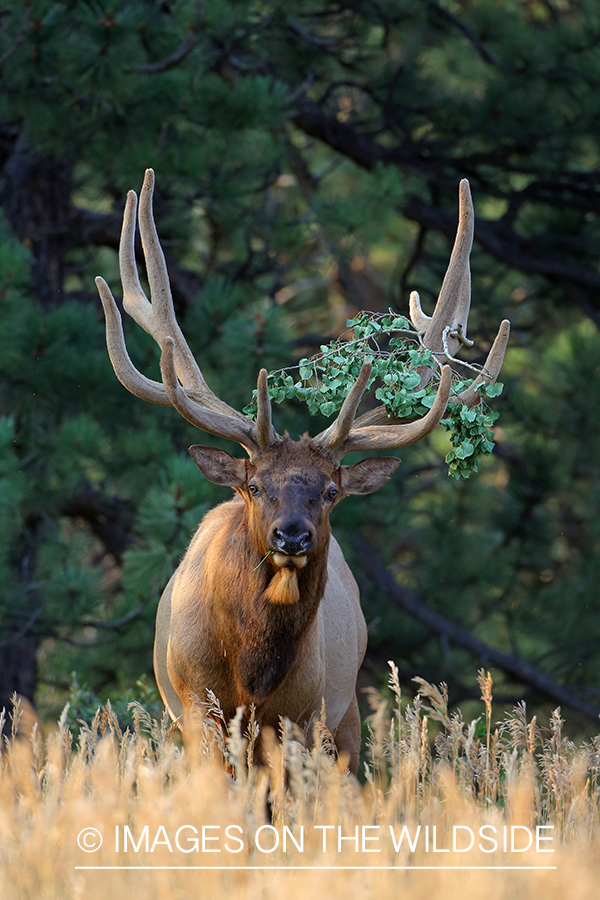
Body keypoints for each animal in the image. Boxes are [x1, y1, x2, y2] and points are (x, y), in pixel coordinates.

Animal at [96, 170, 509, 774]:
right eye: (254, 485)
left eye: (332, 490)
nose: (292, 535)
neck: (251, 677)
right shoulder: (196, 708)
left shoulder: (304, 717)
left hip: (347, 711)